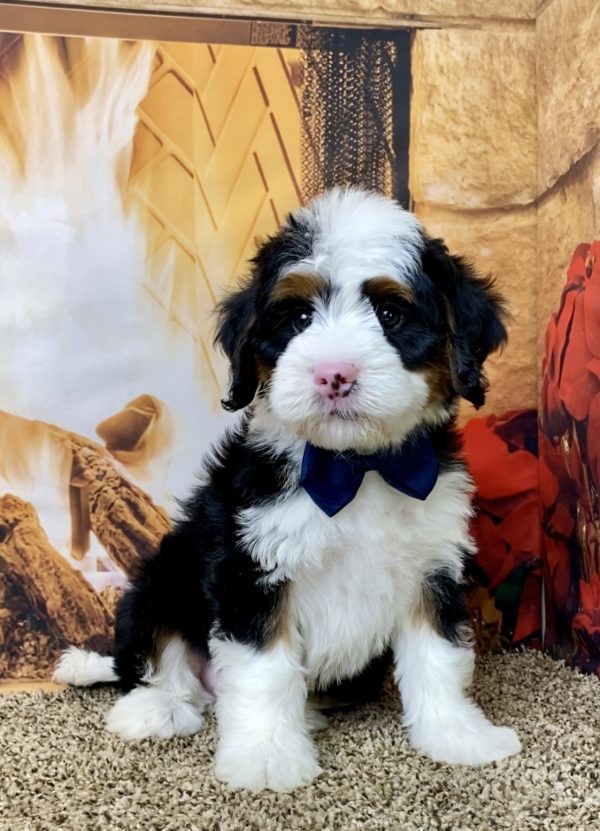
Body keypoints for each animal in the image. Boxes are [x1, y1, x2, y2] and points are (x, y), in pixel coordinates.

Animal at [57, 188, 524, 792]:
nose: (334, 374)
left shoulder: (433, 566)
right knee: (157, 663)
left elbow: (439, 657)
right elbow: (264, 671)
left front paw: (458, 736)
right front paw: (265, 757)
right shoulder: (251, 569)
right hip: (162, 579)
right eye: (299, 317)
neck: (355, 467)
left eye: (391, 315)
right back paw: (156, 709)